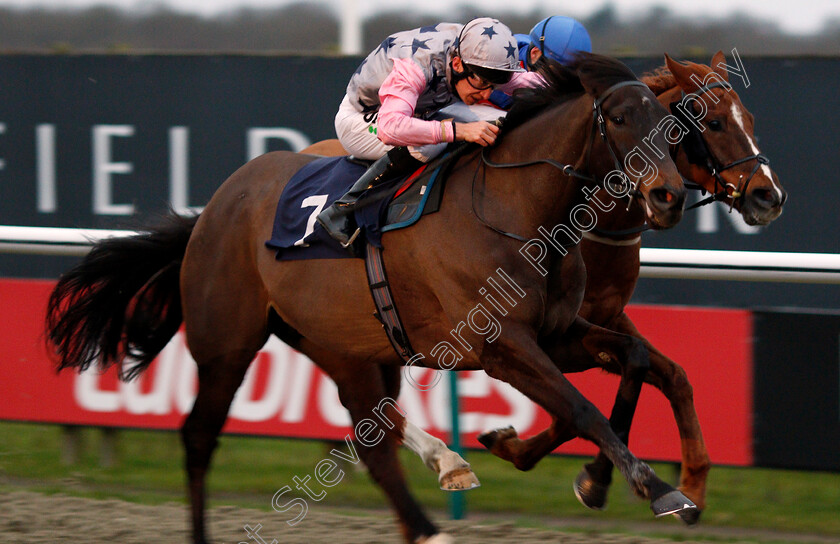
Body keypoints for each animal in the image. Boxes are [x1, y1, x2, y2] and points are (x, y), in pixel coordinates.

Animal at [47, 55, 688, 544]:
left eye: (671, 122)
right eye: (621, 119)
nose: (670, 196)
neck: (514, 208)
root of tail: (213, 208)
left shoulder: (555, 333)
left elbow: (632, 359)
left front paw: (597, 480)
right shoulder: (503, 345)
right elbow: (580, 408)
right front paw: (658, 489)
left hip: (340, 340)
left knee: (370, 431)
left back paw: (438, 488)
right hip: (225, 343)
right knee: (200, 436)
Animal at [298, 51, 784, 524]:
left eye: (750, 119)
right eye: (713, 123)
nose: (769, 196)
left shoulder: (598, 318)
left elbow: (662, 370)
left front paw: (690, 484)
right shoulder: (520, 336)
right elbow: (579, 407)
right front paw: (574, 470)